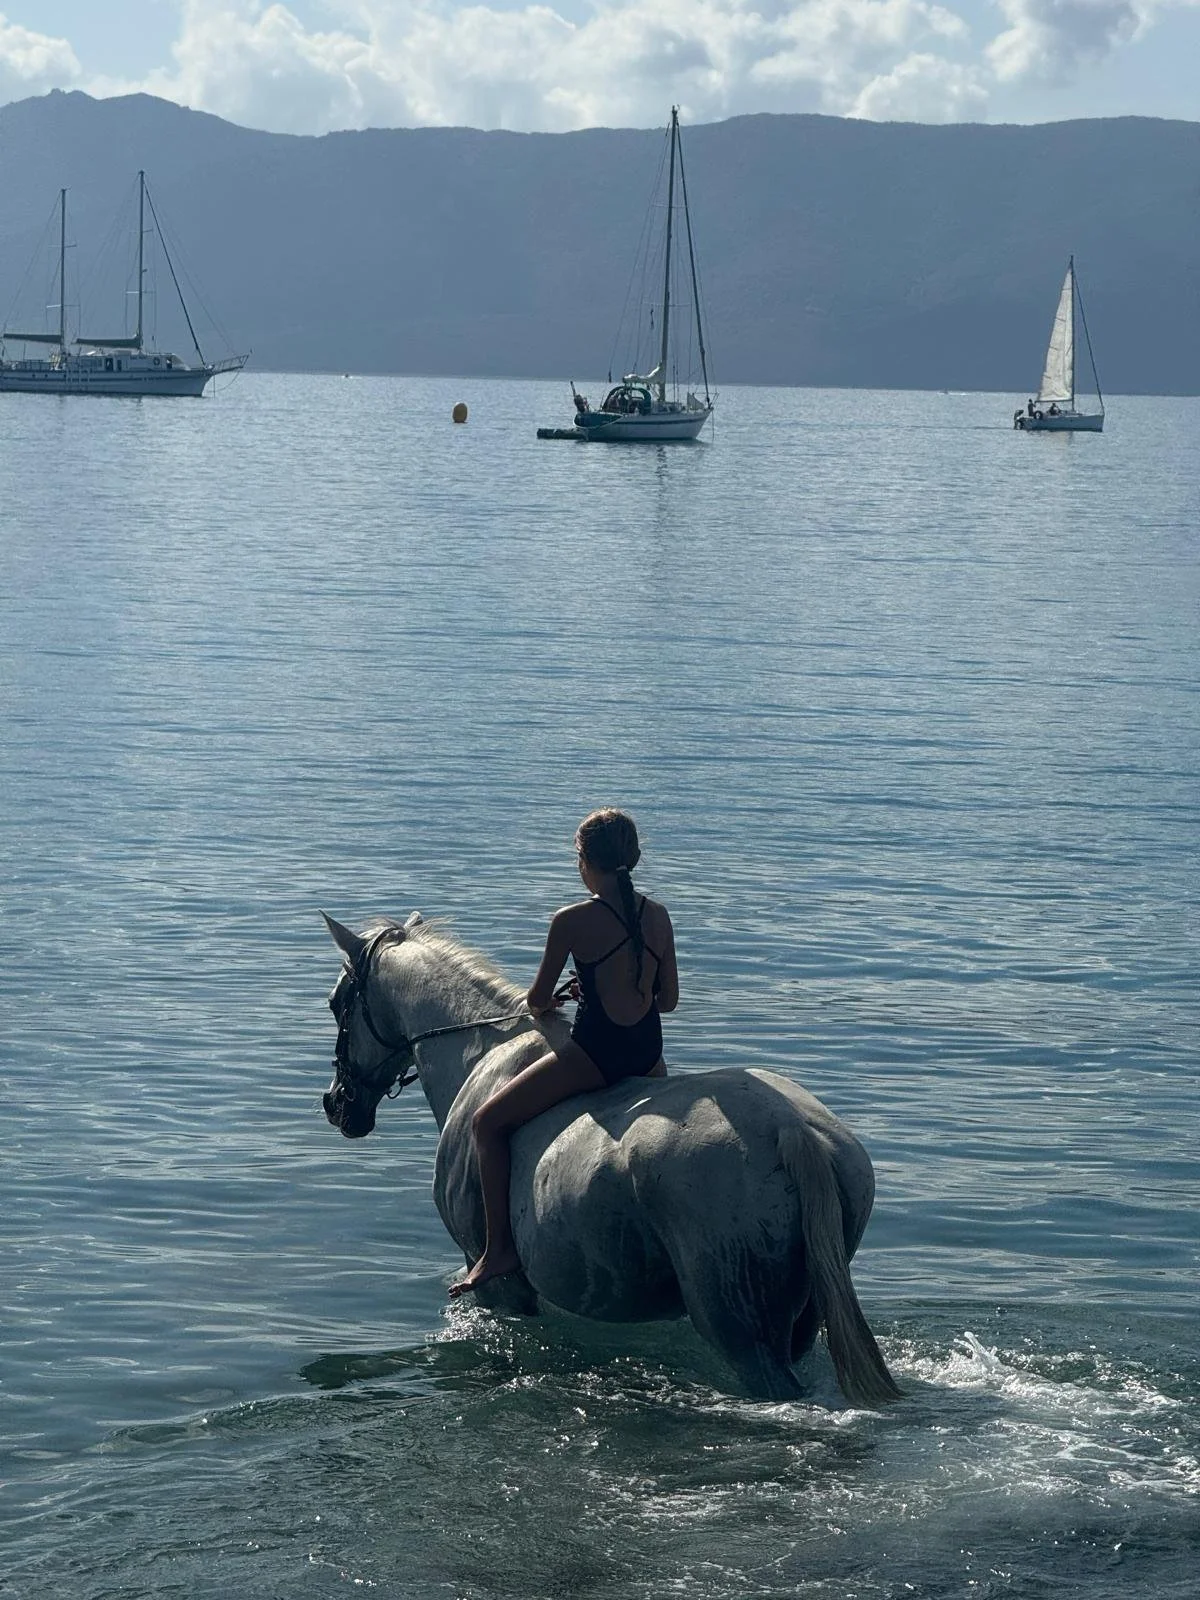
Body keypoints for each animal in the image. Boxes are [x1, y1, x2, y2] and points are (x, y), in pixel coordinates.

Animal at [320, 912, 901, 1408]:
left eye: (336, 1001)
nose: (336, 1104)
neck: (480, 1051)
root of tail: (793, 1132)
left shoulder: (497, 1286)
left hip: (739, 1325)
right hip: (801, 1320)